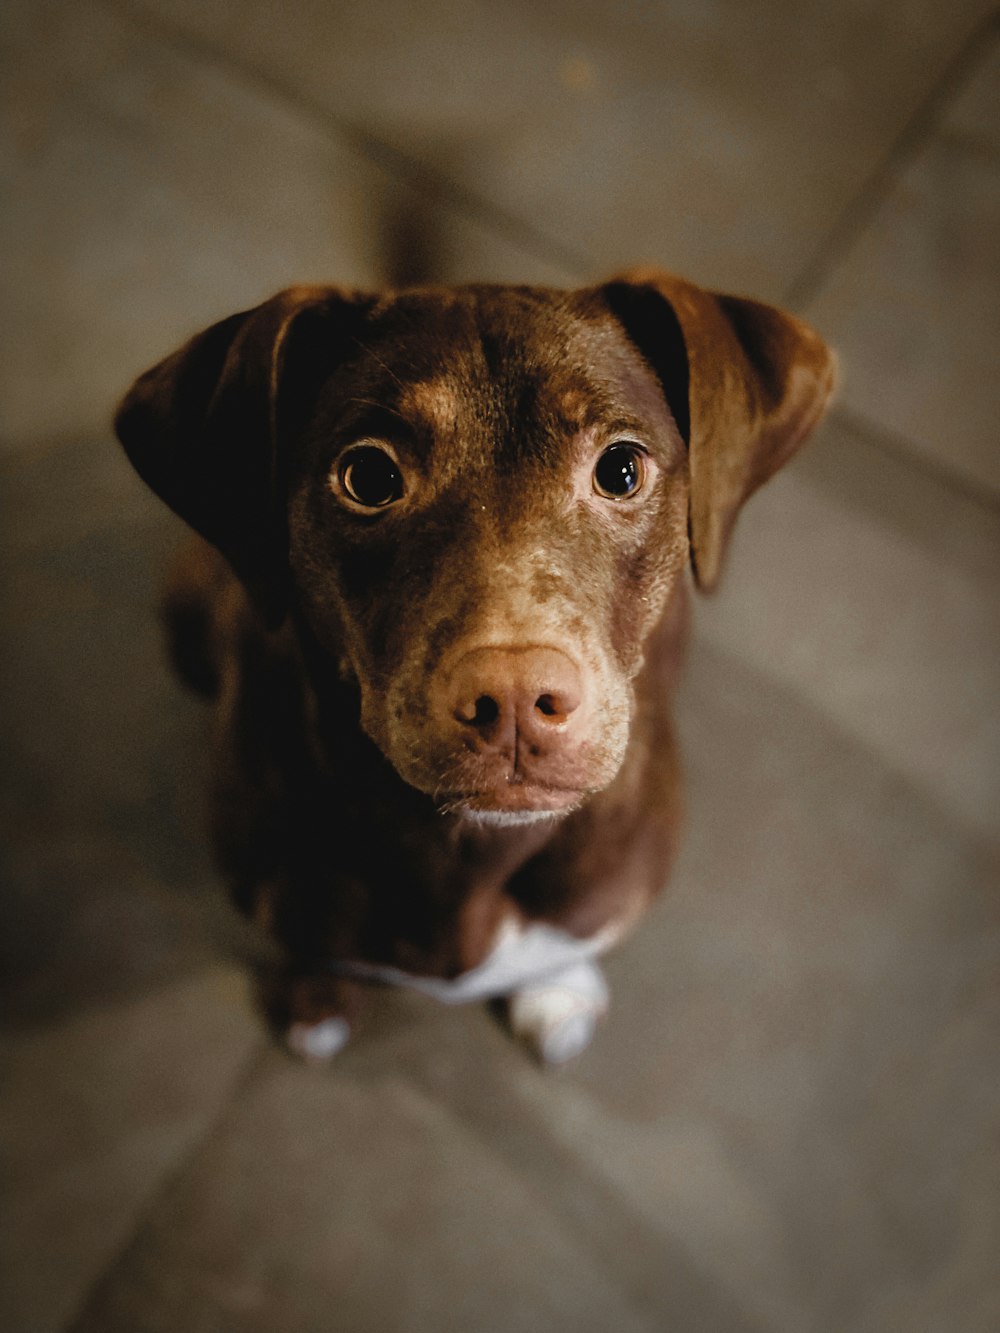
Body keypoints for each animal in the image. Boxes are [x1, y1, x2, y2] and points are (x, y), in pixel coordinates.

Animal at [115, 270, 837, 1061]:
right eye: (367, 475)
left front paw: (557, 990)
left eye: (621, 469)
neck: (471, 853)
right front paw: (315, 998)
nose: (516, 698)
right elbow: (314, 942)